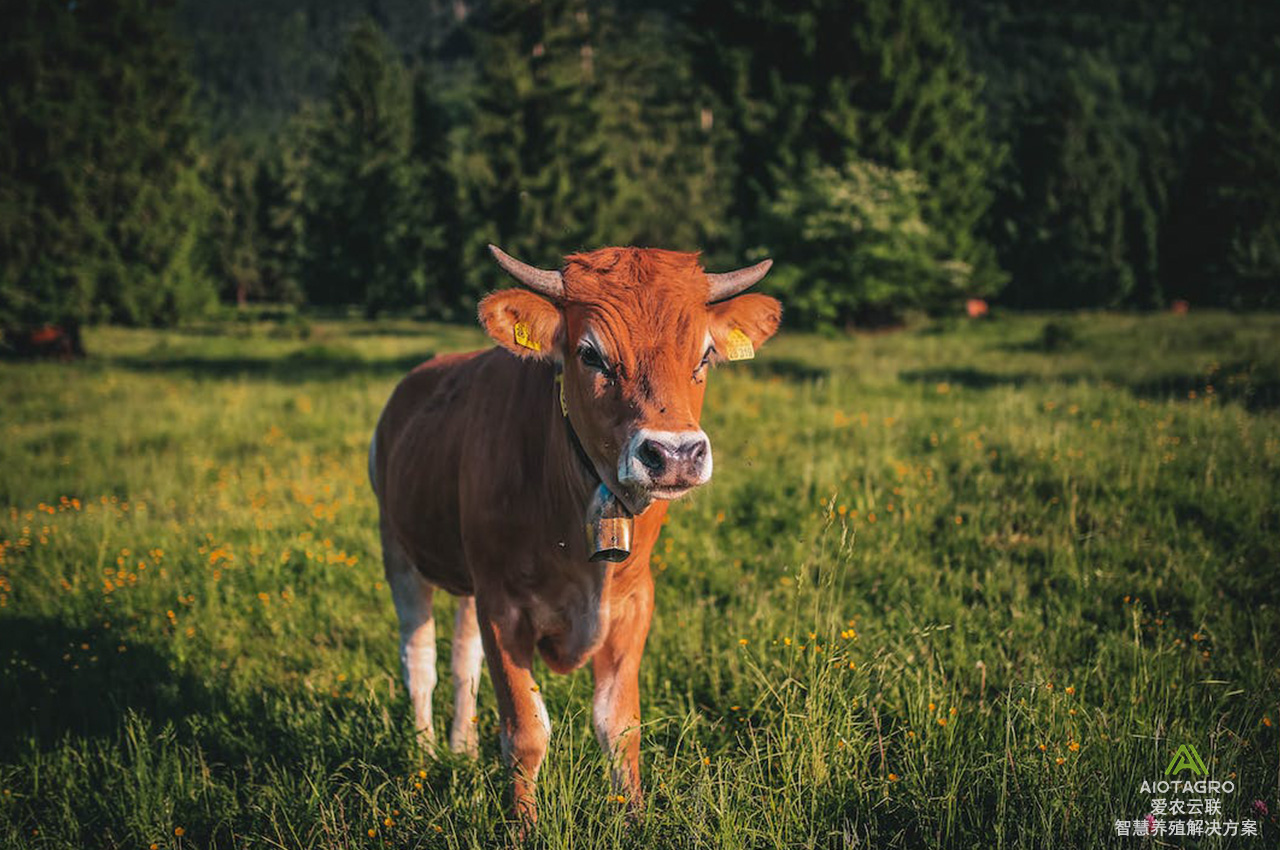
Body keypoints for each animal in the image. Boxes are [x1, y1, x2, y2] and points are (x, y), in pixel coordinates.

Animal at [366, 245, 773, 829]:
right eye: (591, 355)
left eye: (703, 356)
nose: (674, 454)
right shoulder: (503, 605)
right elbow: (526, 730)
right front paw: (523, 827)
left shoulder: (633, 602)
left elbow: (619, 725)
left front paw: (636, 819)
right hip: (397, 549)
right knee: (418, 658)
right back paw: (423, 753)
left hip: (466, 578)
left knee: (463, 658)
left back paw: (461, 747)